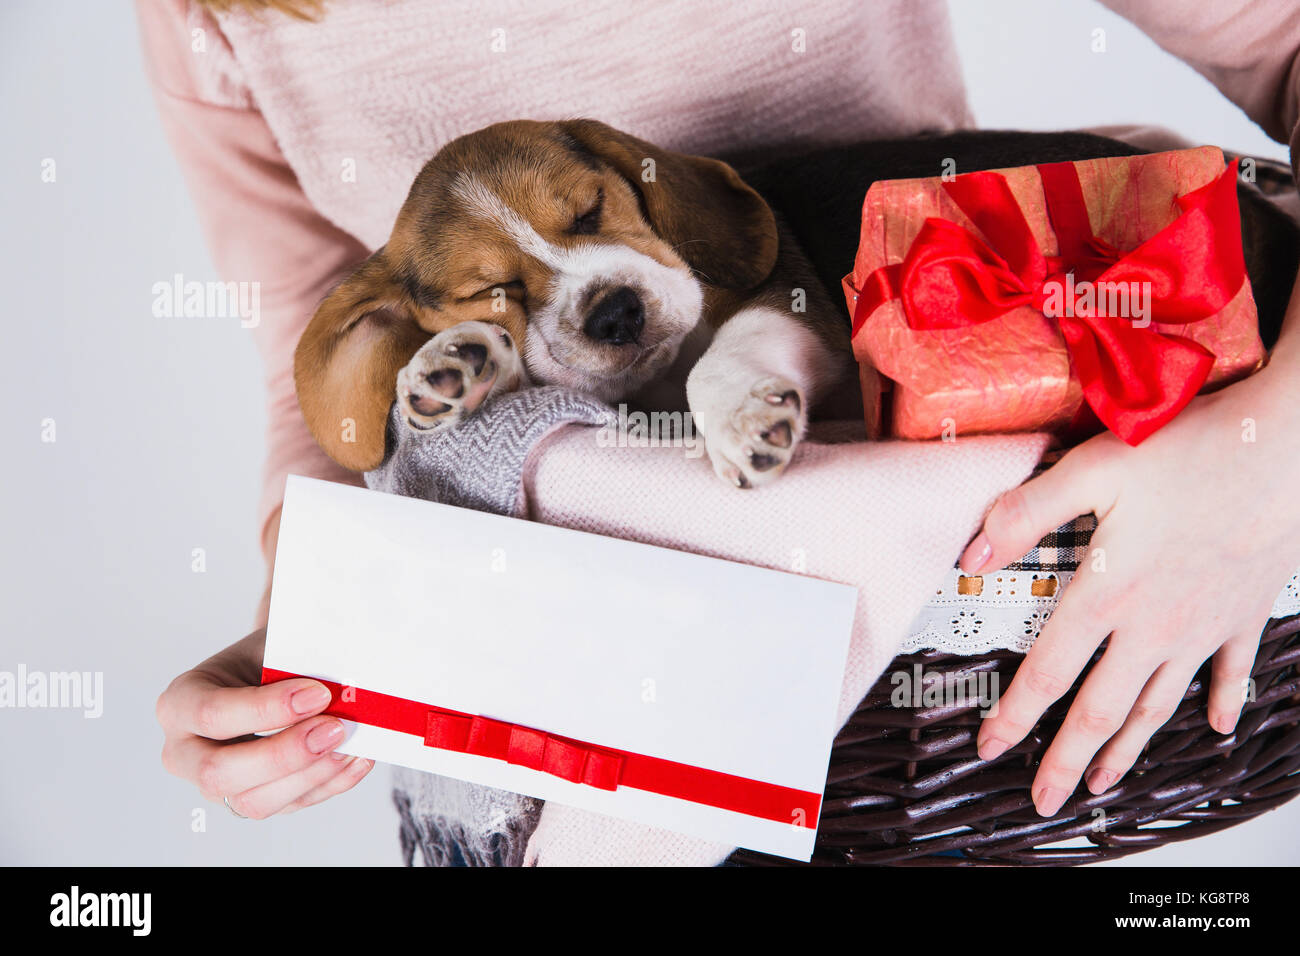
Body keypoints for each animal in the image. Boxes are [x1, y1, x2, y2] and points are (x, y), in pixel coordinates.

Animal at [289, 119, 868, 489]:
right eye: (490, 291)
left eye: (590, 210)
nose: (615, 314)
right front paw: (456, 359)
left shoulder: (789, 296)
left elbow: (724, 353)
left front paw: (739, 416)